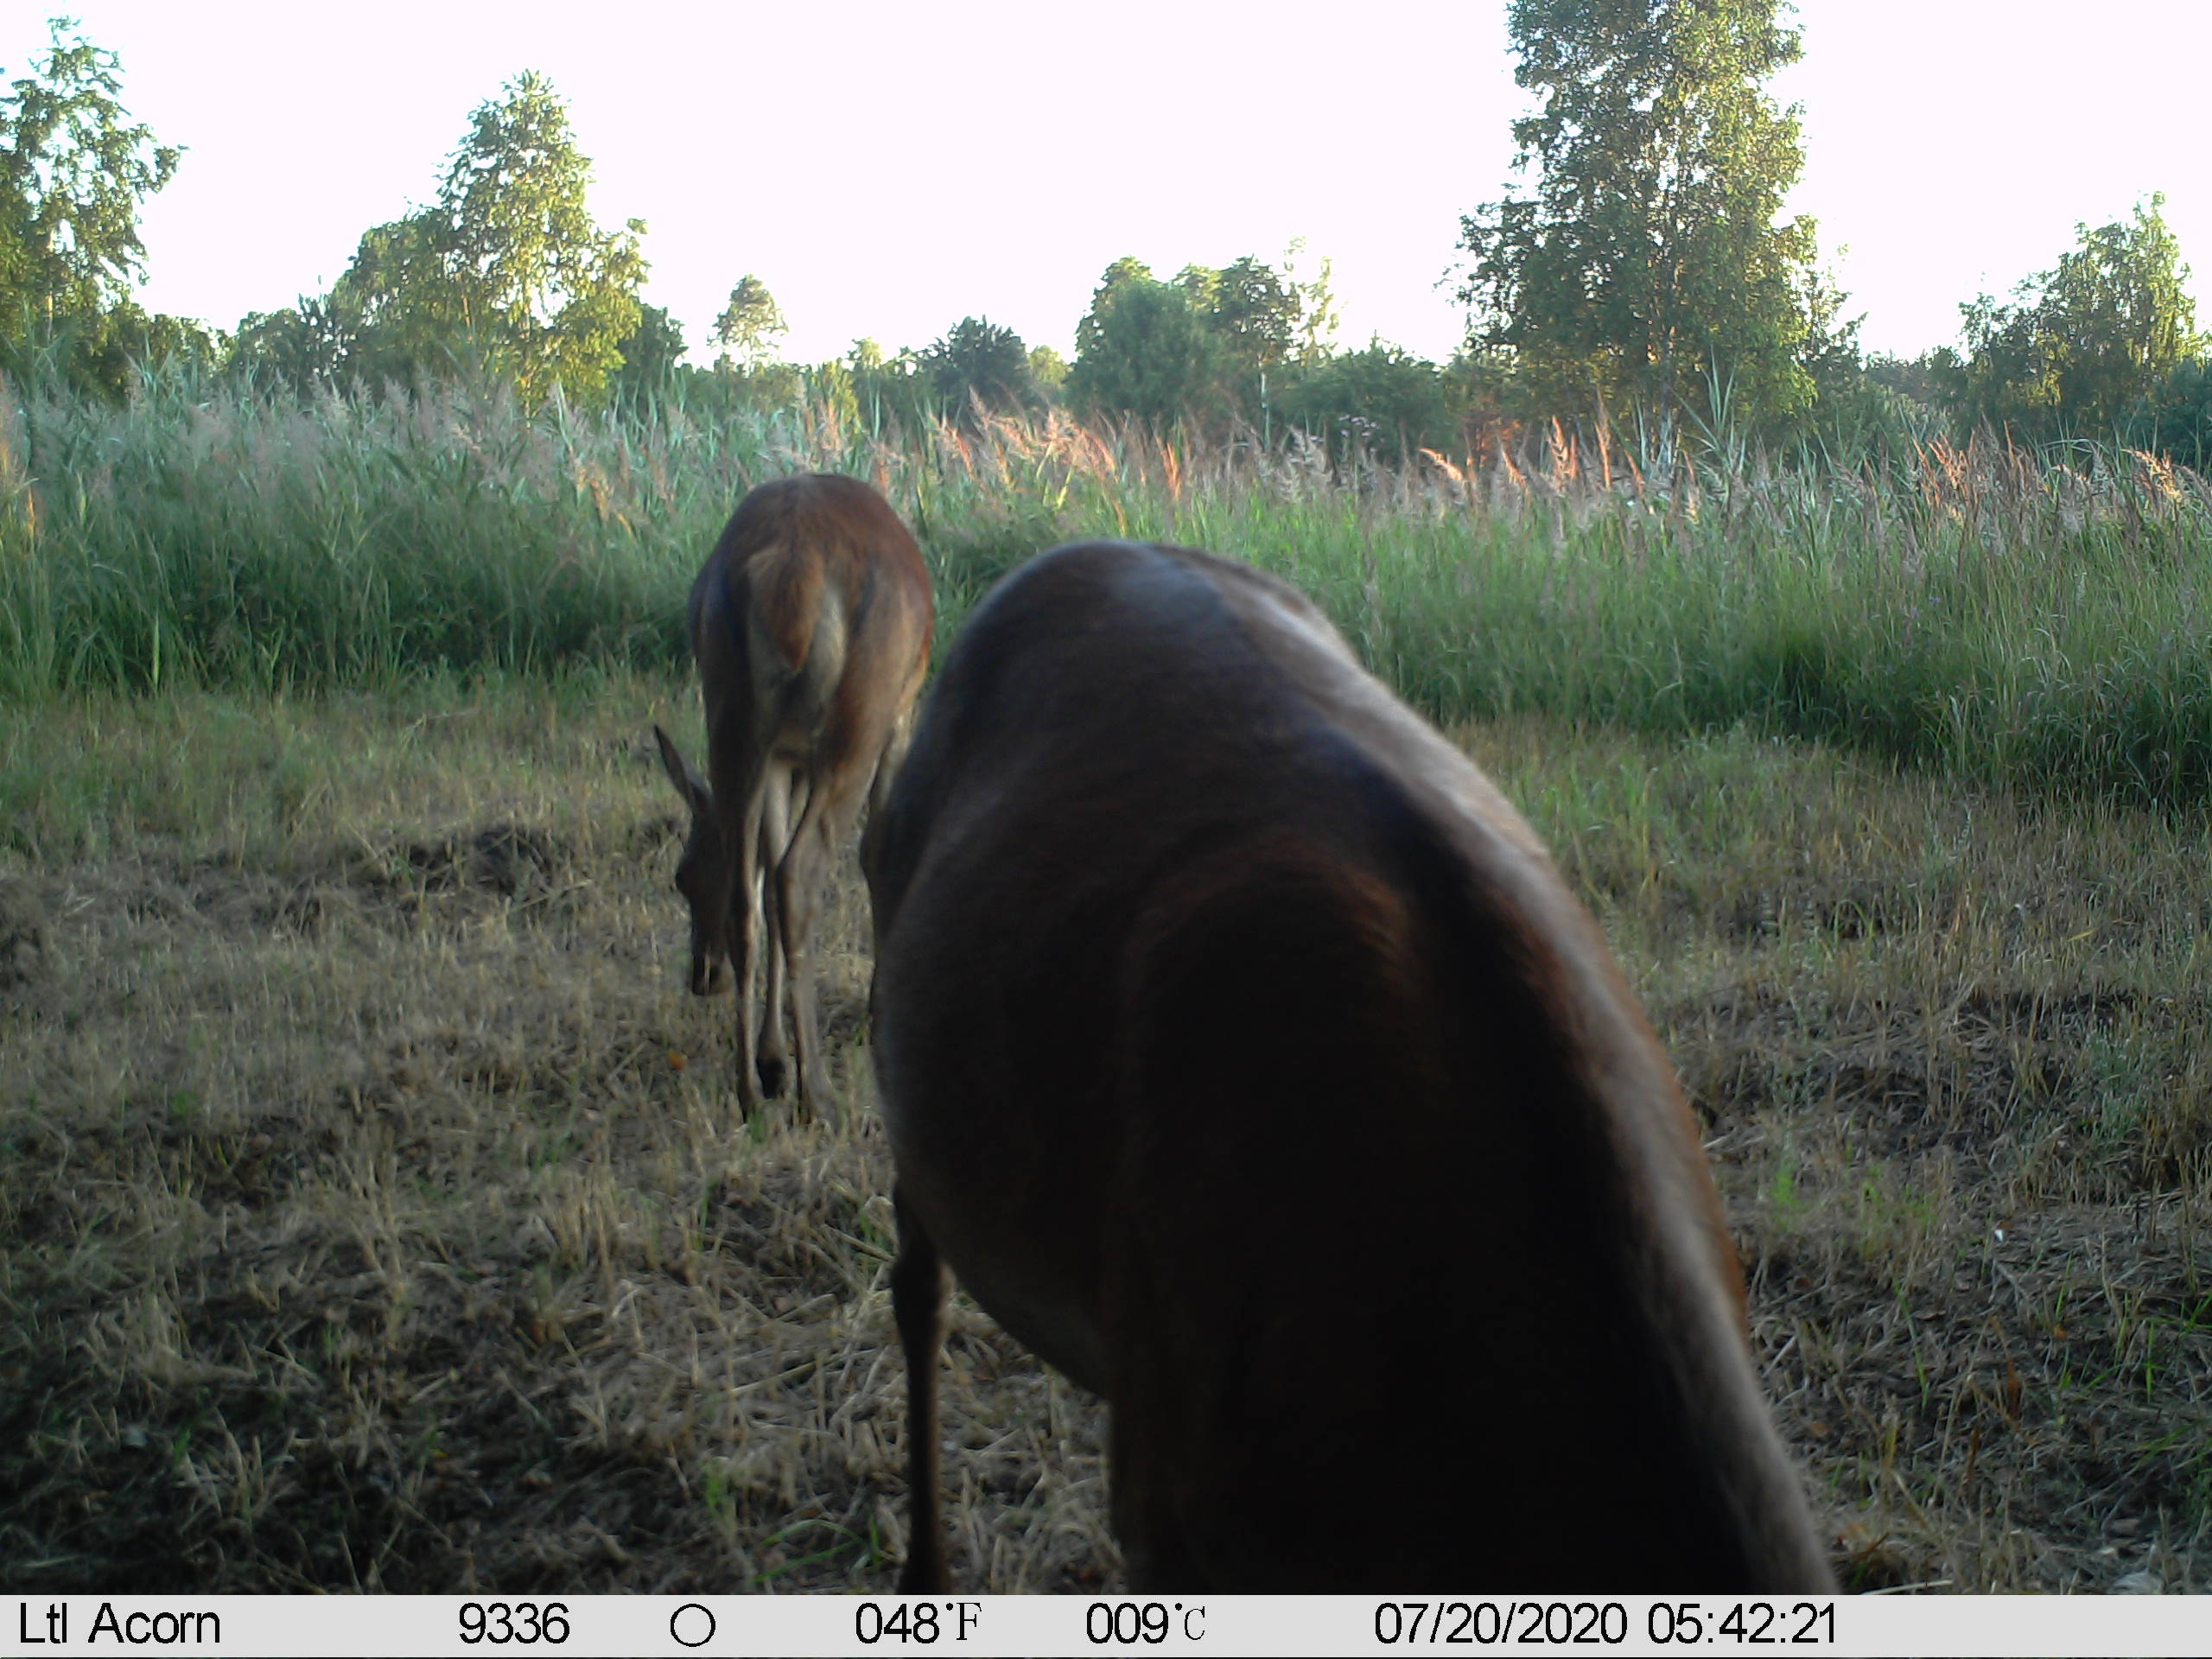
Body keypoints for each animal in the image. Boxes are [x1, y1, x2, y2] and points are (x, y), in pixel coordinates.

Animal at [654, 473, 932, 1117]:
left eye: (682, 876)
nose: (701, 974)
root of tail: (793, 569)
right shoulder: (901, 716)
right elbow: (878, 851)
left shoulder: (783, 757)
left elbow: (765, 859)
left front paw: (773, 1057)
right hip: (861, 715)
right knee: (800, 873)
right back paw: (818, 1096)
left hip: (731, 711)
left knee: (750, 889)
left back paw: (753, 1088)